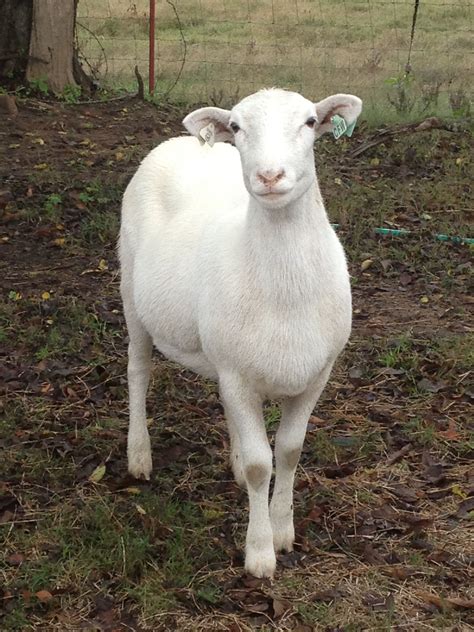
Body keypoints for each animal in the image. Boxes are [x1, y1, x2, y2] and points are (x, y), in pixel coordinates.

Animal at [119, 87, 362, 576]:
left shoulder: (315, 375)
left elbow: (288, 451)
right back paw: (139, 455)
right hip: (130, 290)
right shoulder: (239, 376)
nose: (269, 175)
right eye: (236, 127)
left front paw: (283, 530)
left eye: (310, 122)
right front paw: (260, 553)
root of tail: (180, 142)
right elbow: (258, 466)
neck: (286, 294)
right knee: (138, 372)